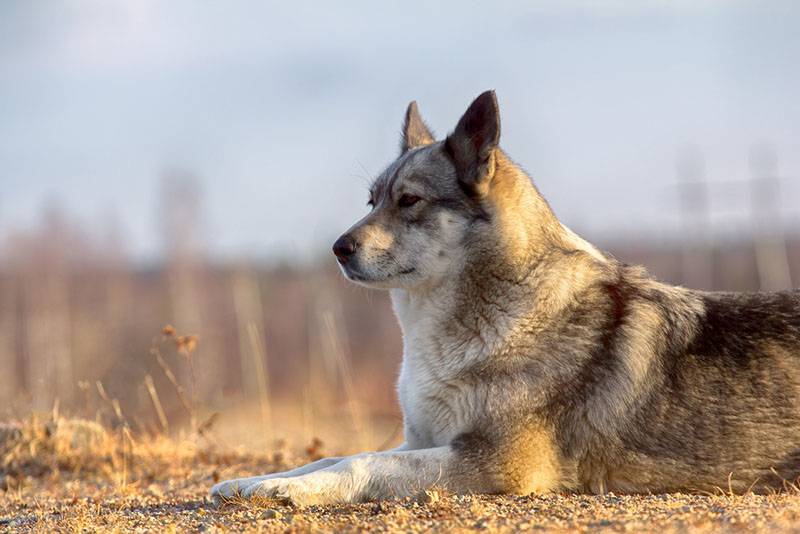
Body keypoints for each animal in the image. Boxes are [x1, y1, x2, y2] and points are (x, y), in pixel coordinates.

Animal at [212, 89, 800, 506]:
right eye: (371, 200)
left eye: (409, 201)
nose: (337, 249)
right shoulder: (419, 440)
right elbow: (331, 457)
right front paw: (257, 481)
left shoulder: (496, 461)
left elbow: (362, 464)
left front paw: (286, 491)